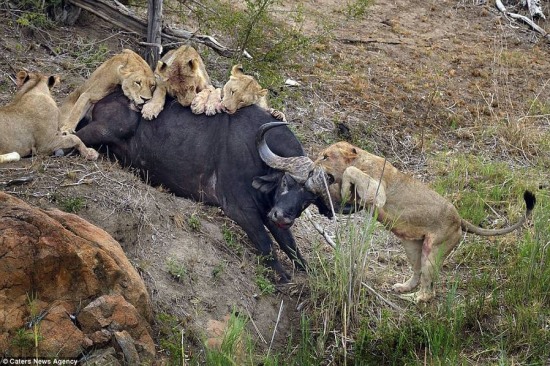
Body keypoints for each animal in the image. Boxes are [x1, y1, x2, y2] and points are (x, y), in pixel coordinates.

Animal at [76, 89, 332, 284]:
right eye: (286, 181)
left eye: (309, 199)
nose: (283, 216)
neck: (259, 158)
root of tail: (105, 99)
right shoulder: (240, 209)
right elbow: (266, 244)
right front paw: (282, 277)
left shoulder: (271, 212)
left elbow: (292, 247)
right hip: (109, 128)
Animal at [306, 142, 536, 302]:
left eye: (325, 156)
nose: (311, 168)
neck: (361, 159)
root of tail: (459, 218)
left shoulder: (377, 193)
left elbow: (350, 172)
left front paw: (344, 187)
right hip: (413, 247)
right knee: (417, 273)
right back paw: (404, 287)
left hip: (434, 249)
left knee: (429, 290)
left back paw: (412, 298)